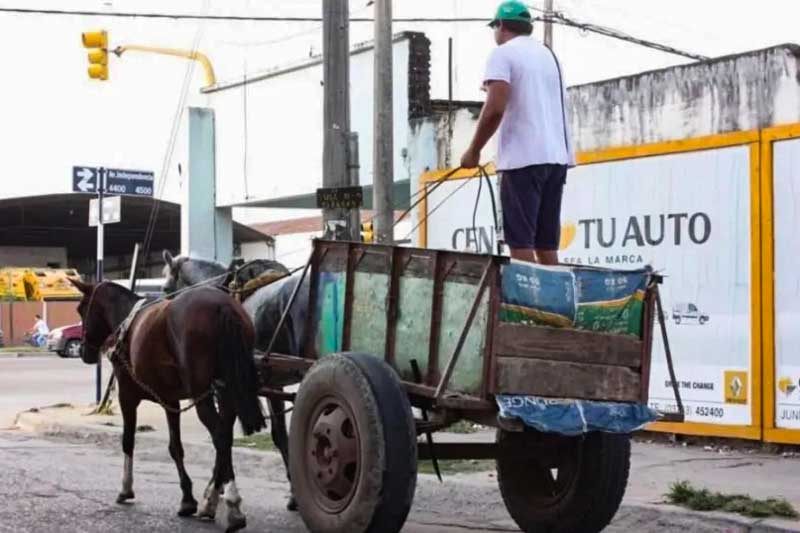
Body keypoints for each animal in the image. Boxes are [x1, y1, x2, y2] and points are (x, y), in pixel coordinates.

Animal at [69, 276, 266, 528]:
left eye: (81, 308)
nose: (84, 351)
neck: (127, 321)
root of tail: (222, 305)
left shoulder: (128, 396)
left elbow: (129, 441)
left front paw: (126, 488)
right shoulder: (171, 399)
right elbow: (176, 447)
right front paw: (188, 498)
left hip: (202, 393)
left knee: (220, 436)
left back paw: (232, 502)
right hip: (228, 390)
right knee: (225, 438)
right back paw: (212, 499)